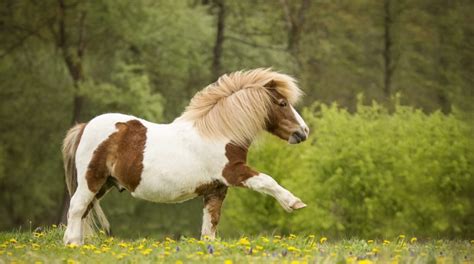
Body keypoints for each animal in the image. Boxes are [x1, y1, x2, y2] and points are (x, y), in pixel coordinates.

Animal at [61, 68, 310, 245]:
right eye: (282, 103)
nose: (303, 132)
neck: (220, 134)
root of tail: (84, 127)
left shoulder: (216, 190)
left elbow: (210, 226)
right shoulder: (234, 173)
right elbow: (267, 180)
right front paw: (294, 203)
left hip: (103, 184)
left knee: (83, 212)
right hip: (91, 180)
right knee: (76, 208)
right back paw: (72, 244)